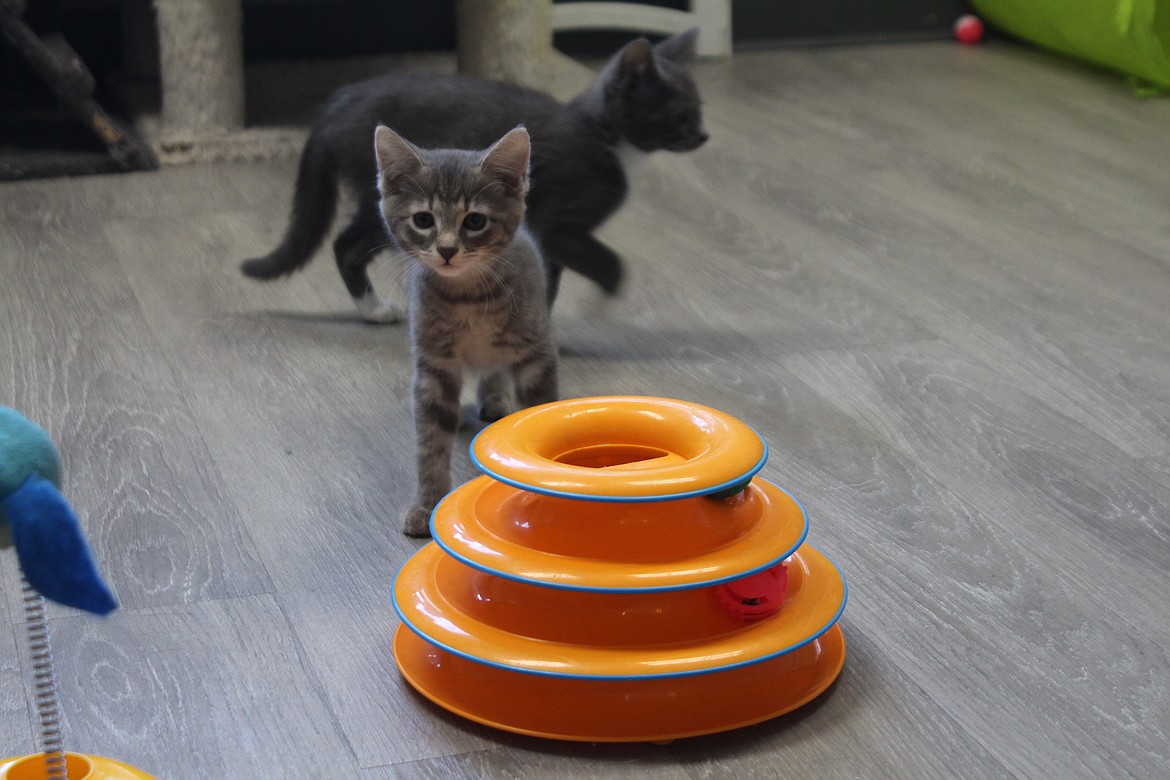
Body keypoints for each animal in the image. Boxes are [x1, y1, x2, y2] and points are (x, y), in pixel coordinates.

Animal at [374, 125, 556, 537]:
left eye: (475, 221)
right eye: (423, 219)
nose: (446, 250)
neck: (467, 299)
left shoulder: (537, 354)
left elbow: (539, 414)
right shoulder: (433, 366)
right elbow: (430, 442)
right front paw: (428, 504)